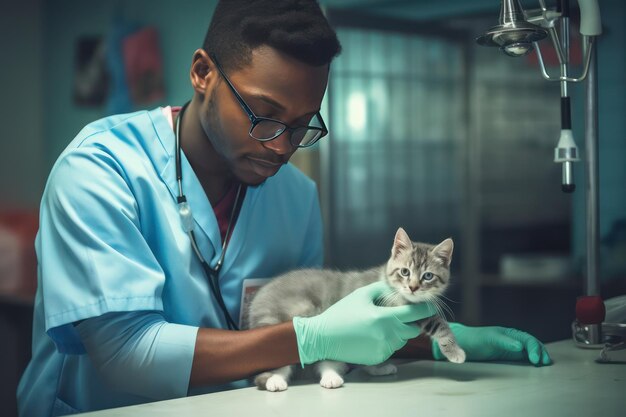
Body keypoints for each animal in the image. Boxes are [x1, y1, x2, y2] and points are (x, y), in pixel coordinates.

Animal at [247, 228, 464, 390]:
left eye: (428, 276)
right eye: (405, 272)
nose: (413, 287)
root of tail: (259, 300)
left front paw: (376, 367)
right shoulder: (391, 307)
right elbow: (437, 323)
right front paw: (455, 351)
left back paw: (331, 376)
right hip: (283, 319)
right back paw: (275, 380)